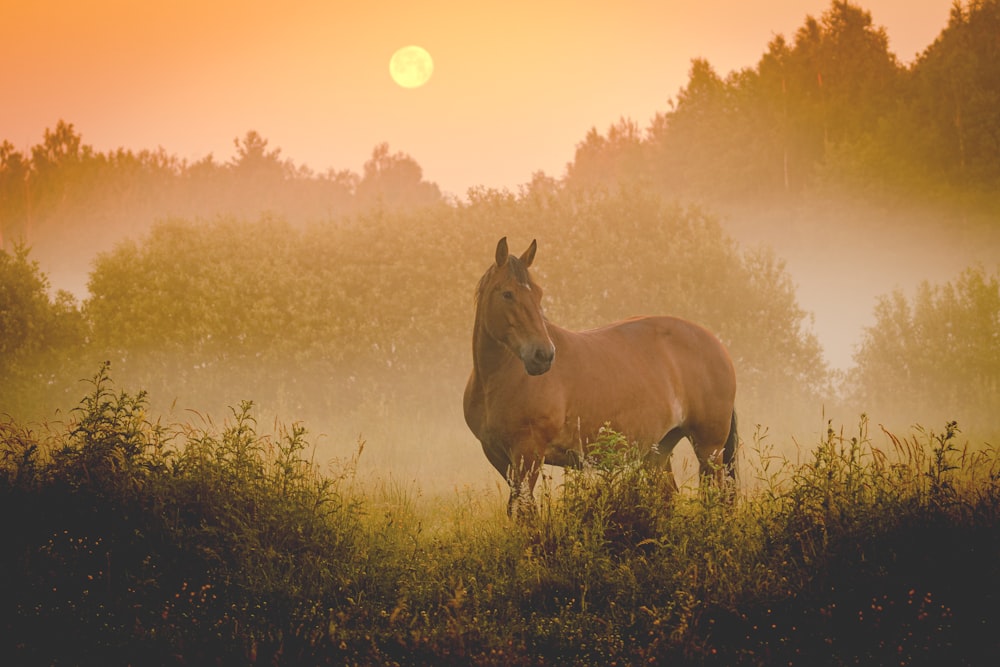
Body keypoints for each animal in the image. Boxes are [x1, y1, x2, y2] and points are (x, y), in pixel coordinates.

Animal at [464, 237, 740, 520]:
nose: (543, 355)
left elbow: (527, 513)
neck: (496, 381)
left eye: (538, 294)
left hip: (709, 449)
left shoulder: (527, 455)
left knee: (718, 498)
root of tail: (717, 345)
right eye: (507, 294)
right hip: (660, 450)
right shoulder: (499, 457)